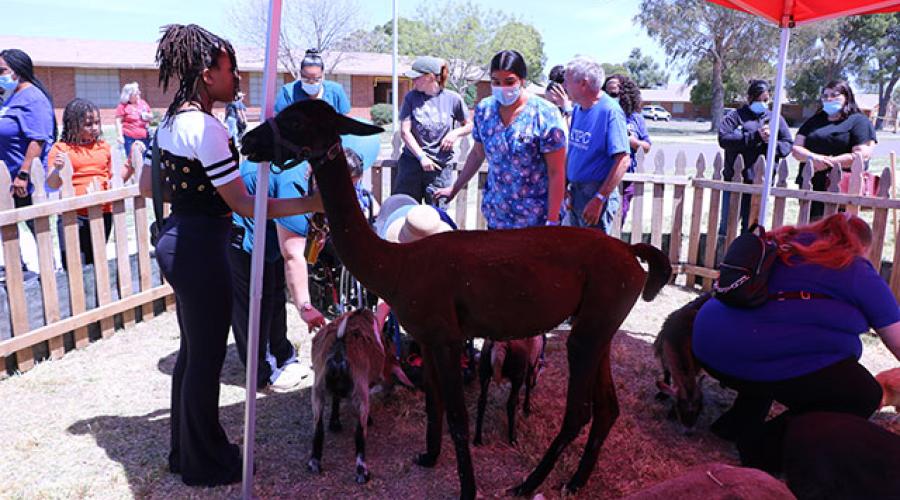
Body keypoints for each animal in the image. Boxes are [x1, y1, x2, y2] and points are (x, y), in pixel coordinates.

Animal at [310, 308, 384, 484]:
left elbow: (336, 399)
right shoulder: (366, 386)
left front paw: (335, 423)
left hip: (318, 389)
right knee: (359, 433)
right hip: (360, 391)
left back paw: (314, 462)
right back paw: (362, 472)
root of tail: (340, 343)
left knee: (318, 427)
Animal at [652, 292, 712, 430]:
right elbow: (667, 375)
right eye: (679, 407)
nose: (689, 427)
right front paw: (662, 395)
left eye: (700, 408)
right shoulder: (663, 354)